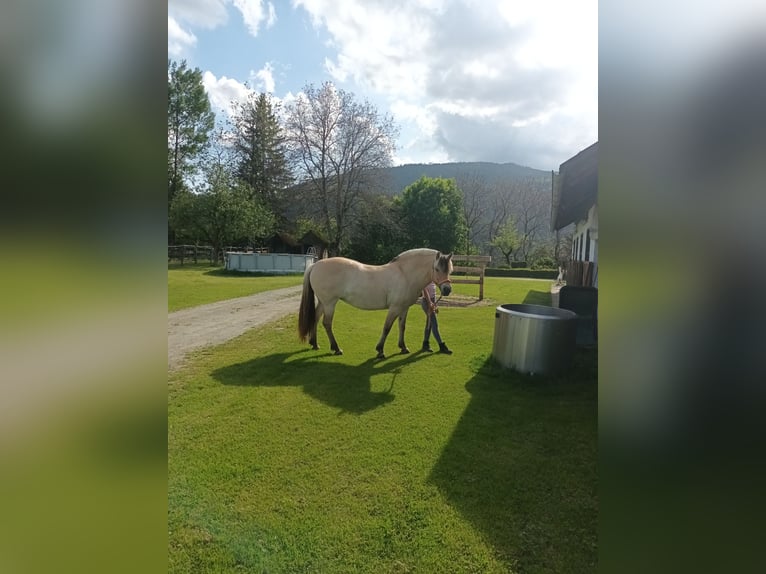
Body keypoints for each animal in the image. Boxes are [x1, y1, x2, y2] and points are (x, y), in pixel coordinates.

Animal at [298, 249, 454, 359]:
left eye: (450, 270)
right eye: (437, 269)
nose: (447, 290)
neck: (405, 274)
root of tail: (315, 265)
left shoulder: (404, 308)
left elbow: (402, 326)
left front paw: (403, 347)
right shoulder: (395, 308)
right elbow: (387, 328)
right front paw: (380, 351)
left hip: (323, 302)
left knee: (315, 318)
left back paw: (315, 343)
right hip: (330, 303)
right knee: (327, 323)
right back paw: (336, 348)